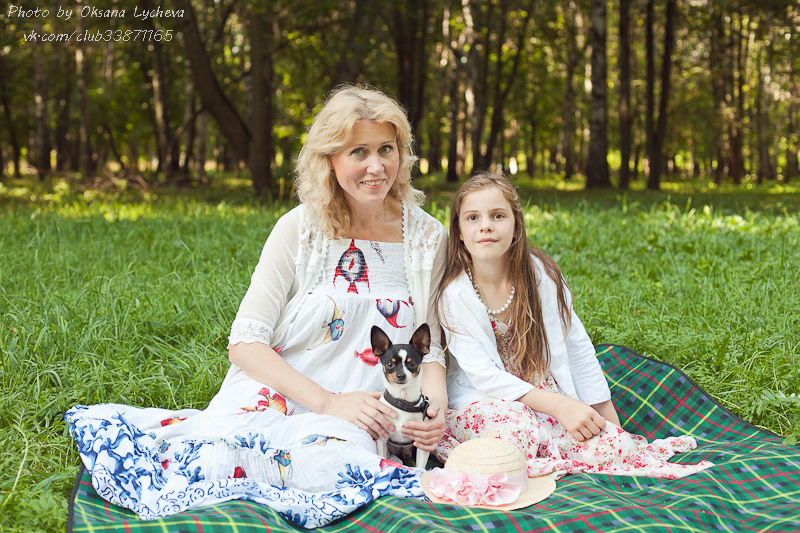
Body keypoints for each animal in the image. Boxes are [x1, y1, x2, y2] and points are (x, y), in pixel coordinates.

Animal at [370, 323, 431, 469]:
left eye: (412, 364)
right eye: (389, 364)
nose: (401, 375)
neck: (403, 400)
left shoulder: (422, 444)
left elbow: (420, 467)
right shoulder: (382, 439)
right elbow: (381, 455)